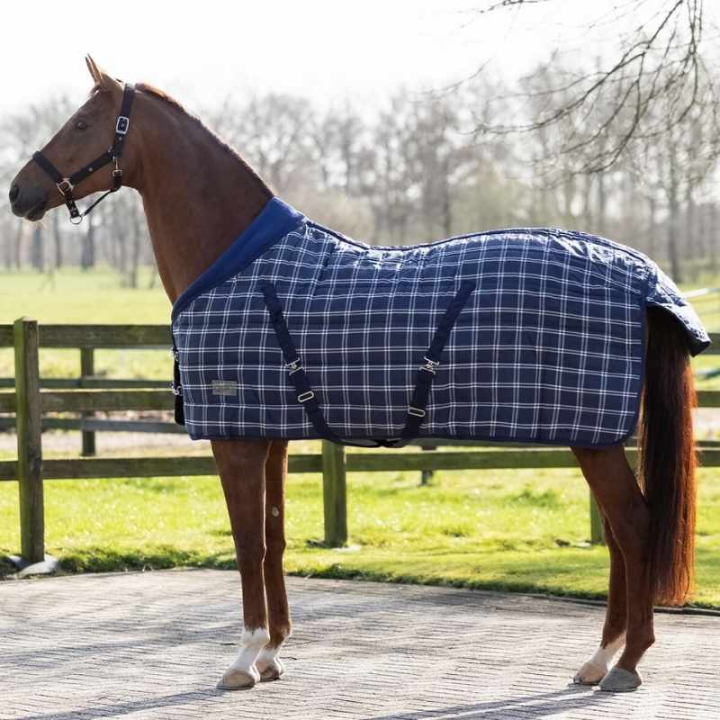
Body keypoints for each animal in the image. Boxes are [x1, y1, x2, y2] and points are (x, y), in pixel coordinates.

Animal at [8, 56, 706, 694]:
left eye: (82, 122)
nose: (18, 192)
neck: (237, 263)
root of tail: (642, 277)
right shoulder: (272, 436)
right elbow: (275, 536)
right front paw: (272, 653)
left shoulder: (235, 439)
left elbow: (247, 544)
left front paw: (242, 660)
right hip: (597, 436)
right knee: (618, 536)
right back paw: (598, 660)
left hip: (594, 438)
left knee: (635, 527)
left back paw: (627, 662)